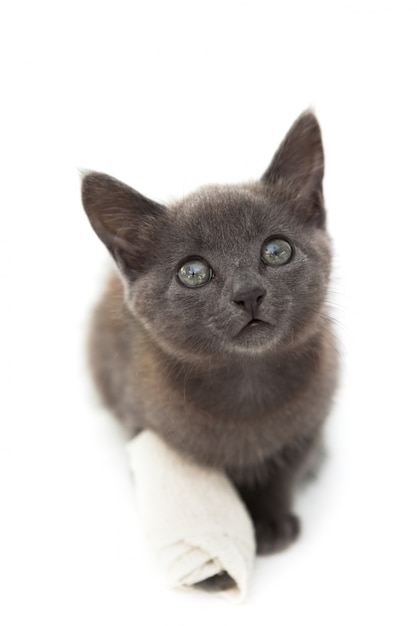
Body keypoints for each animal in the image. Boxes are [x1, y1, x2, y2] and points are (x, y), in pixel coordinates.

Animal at [81, 111, 338, 588]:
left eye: (277, 250)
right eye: (194, 272)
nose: (249, 293)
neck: (247, 386)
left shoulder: (312, 418)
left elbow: (287, 468)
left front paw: (270, 521)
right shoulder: (144, 422)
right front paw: (212, 563)